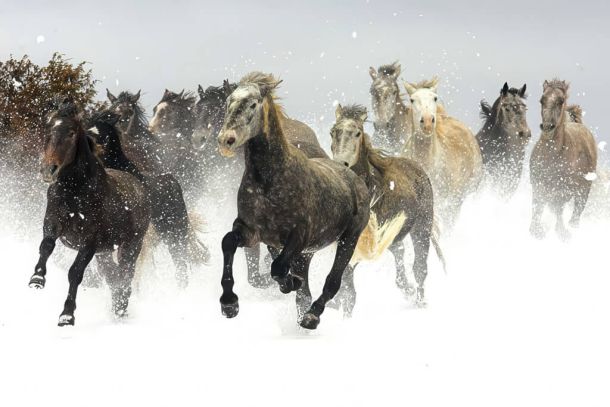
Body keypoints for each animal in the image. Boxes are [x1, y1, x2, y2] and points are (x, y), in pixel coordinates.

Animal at [29, 103, 151, 328]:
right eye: (48, 127)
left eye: (71, 132)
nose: (48, 170)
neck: (75, 191)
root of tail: (139, 186)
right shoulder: (52, 223)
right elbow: (46, 246)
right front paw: (37, 279)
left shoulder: (90, 241)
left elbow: (75, 273)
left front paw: (66, 316)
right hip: (105, 253)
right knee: (112, 275)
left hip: (131, 245)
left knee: (126, 273)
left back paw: (121, 308)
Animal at [216, 71, 368, 330]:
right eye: (228, 102)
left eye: (253, 104)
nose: (226, 139)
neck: (270, 181)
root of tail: (354, 178)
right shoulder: (251, 231)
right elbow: (228, 242)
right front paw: (229, 304)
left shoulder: (299, 237)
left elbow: (278, 267)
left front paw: (289, 283)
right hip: (307, 253)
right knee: (305, 291)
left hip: (348, 239)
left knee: (333, 281)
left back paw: (311, 316)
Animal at [528, 78, 592, 241]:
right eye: (542, 100)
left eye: (561, 100)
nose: (547, 127)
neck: (552, 156)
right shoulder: (538, 184)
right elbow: (537, 206)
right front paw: (536, 230)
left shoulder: (562, 189)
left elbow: (558, 209)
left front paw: (562, 233)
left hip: (583, 191)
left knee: (575, 214)